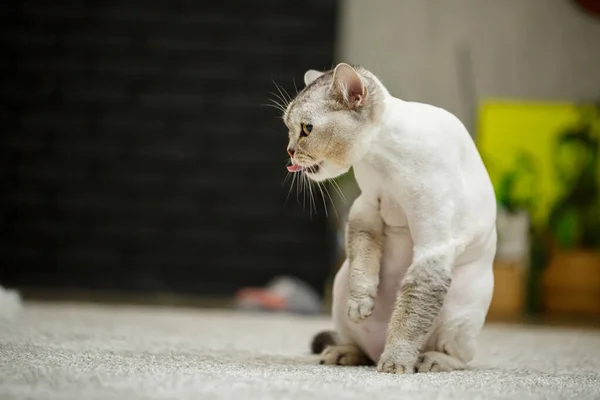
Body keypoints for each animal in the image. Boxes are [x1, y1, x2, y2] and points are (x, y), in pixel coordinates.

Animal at [282, 63, 496, 376]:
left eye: (306, 129)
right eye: (288, 129)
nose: (289, 151)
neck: (382, 160)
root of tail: (374, 348)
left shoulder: (433, 247)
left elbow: (409, 316)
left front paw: (396, 362)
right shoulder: (365, 211)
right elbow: (364, 265)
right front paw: (361, 303)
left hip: (459, 314)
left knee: (460, 357)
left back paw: (429, 360)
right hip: (339, 287)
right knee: (357, 346)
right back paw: (343, 352)